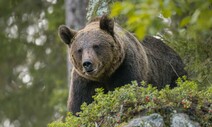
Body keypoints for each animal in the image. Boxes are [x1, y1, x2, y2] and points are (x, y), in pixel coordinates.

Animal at [58, 14, 187, 114]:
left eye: (96, 46)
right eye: (79, 50)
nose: (87, 63)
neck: (104, 75)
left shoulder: (125, 67)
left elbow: (127, 89)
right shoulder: (84, 81)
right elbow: (80, 105)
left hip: (172, 72)